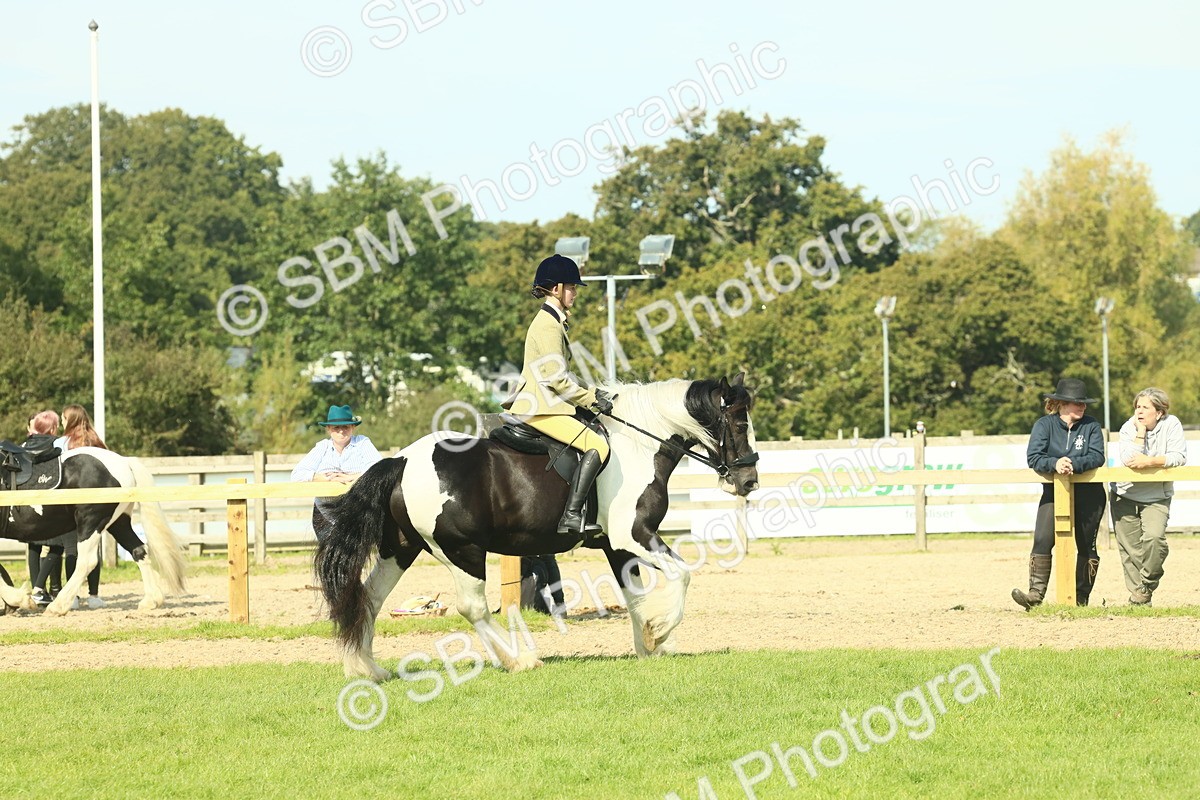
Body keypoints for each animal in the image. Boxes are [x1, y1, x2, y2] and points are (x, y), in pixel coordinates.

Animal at [0, 447, 187, 616]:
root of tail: (124, 462)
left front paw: (19, 600)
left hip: (91, 521)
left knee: (87, 562)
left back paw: (58, 606)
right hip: (118, 523)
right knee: (139, 550)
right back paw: (151, 600)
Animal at [315, 374, 760, 681]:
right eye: (739, 426)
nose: (749, 482)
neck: (639, 446)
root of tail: (403, 460)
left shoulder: (616, 547)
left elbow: (634, 597)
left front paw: (649, 644)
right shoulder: (633, 536)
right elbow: (683, 574)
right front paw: (663, 630)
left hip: (402, 548)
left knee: (369, 598)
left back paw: (367, 669)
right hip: (461, 550)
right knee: (472, 607)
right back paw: (519, 660)